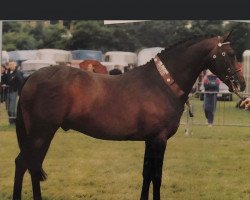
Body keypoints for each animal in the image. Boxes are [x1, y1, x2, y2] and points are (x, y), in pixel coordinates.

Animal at [12, 32, 245, 199]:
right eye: (230, 54)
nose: (241, 84)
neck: (162, 84)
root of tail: (31, 77)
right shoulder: (159, 139)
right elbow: (157, 176)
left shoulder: (150, 140)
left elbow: (147, 174)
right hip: (41, 132)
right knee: (23, 163)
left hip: (42, 134)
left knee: (33, 165)